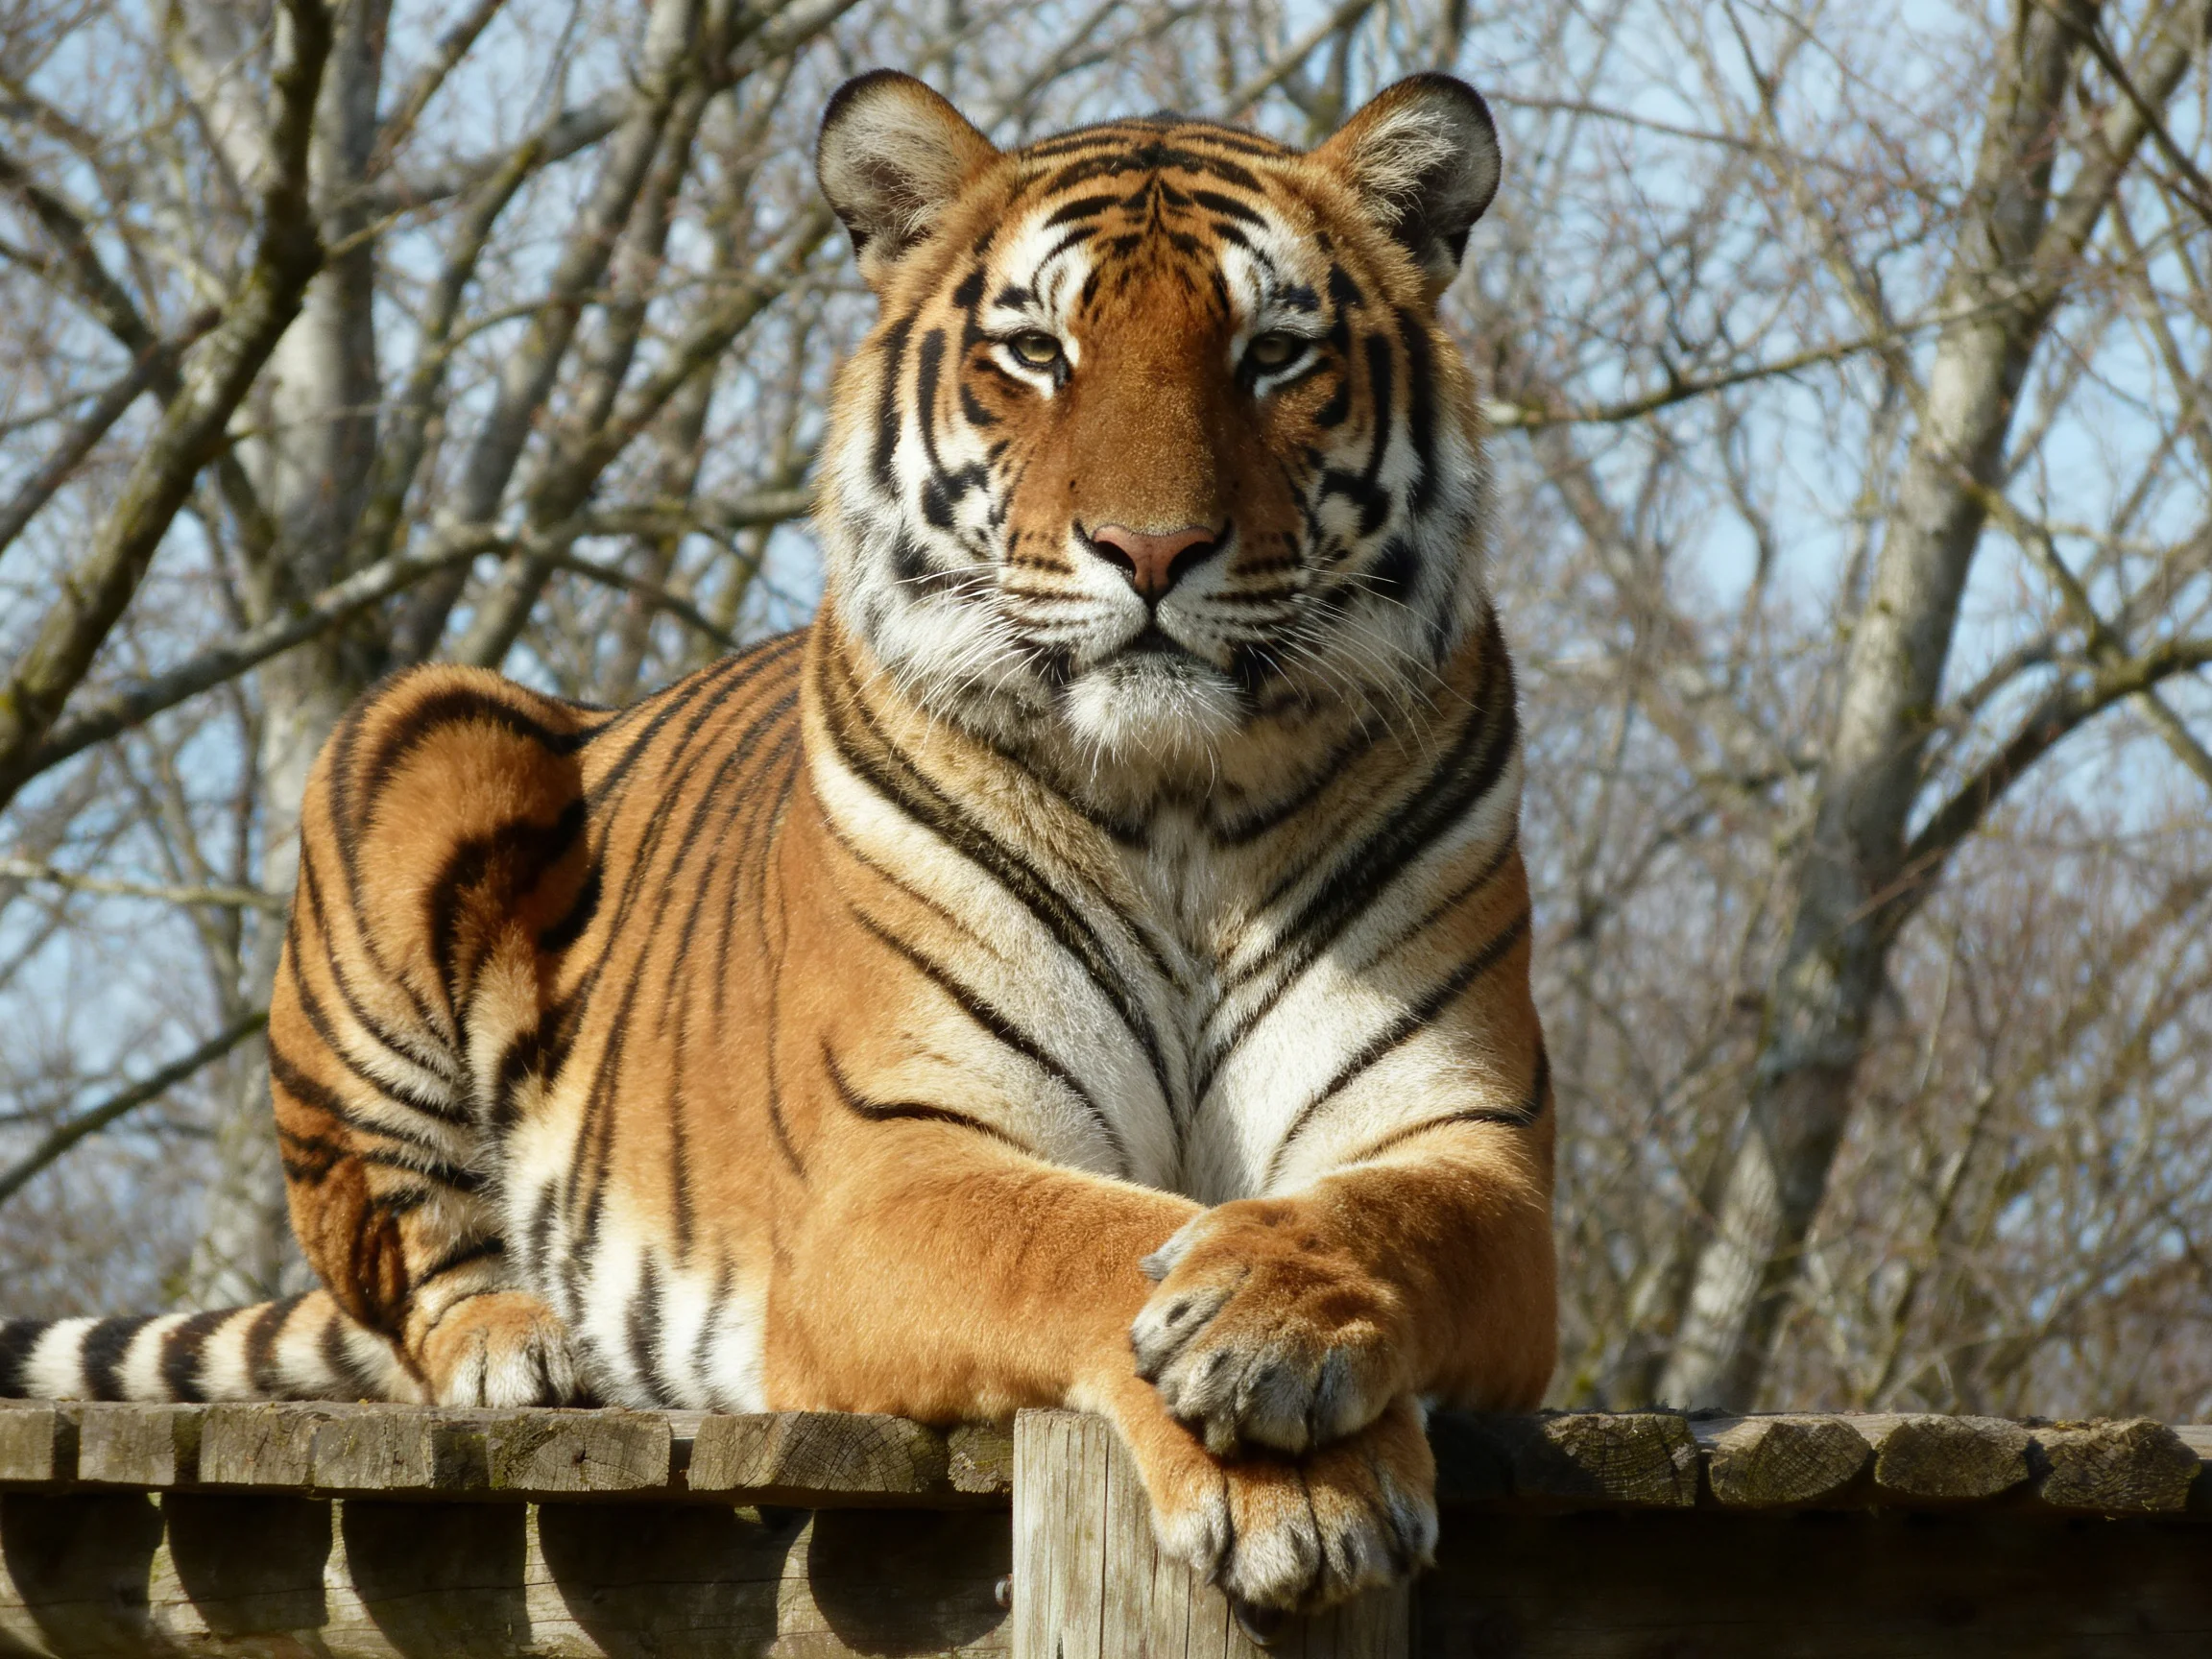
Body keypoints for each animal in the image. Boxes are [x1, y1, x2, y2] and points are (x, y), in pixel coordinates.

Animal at [0, 70, 1554, 1615]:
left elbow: (1380, 1221)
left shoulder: (1467, 1140)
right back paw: (527, 1345)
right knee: (412, 1267)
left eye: (1275, 354)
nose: (1152, 550)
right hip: (415, 734)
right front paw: (1289, 1473)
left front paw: (1269, 1313)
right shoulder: (897, 1164)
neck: (1175, 796)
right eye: (1037, 351)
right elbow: (1086, 1241)